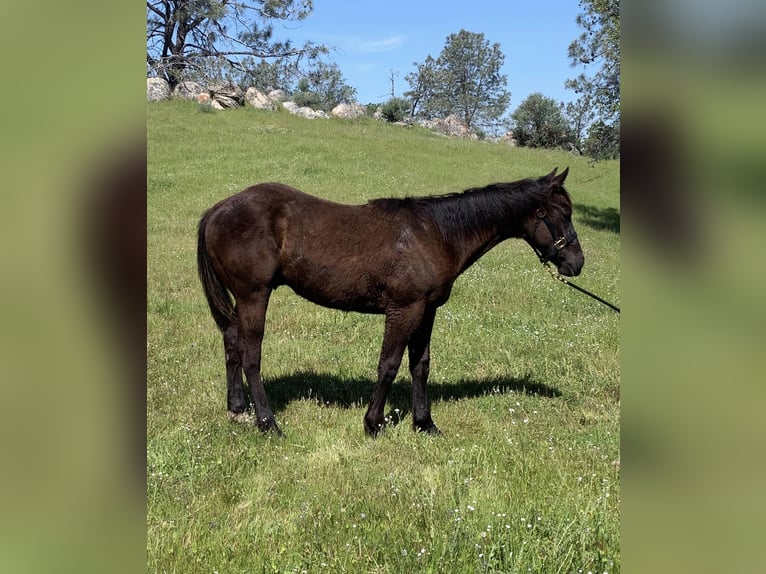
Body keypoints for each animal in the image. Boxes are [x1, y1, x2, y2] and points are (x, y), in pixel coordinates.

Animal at [196, 166, 584, 436]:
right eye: (564, 214)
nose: (577, 263)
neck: (437, 234)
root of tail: (219, 209)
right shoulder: (404, 310)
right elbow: (389, 365)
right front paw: (373, 423)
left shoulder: (427, 311)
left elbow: (420, 366)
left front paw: (424, 423)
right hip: (254, 296)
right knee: (251, 356)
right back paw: (268, 423)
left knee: (231, 342)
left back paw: (237, 408)